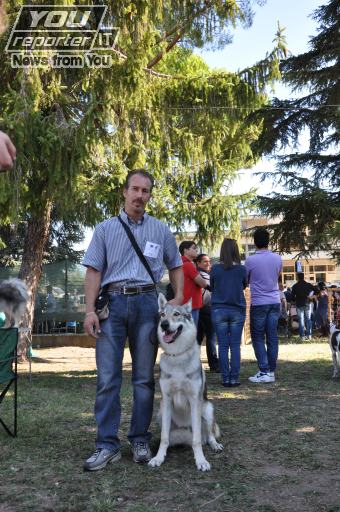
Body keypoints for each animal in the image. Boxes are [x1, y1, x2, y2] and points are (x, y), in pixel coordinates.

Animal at [149, 292, 223, 472]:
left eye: (176, 314)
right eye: (163, 315)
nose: (164, 325)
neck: (178, 356)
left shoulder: (195, 400)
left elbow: (196, 440)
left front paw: (201, 461)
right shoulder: (167, 400)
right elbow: (164, 438)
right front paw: (158, 458)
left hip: (207, 410)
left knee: (208, 435)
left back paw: (215, 445)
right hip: (161, 413)